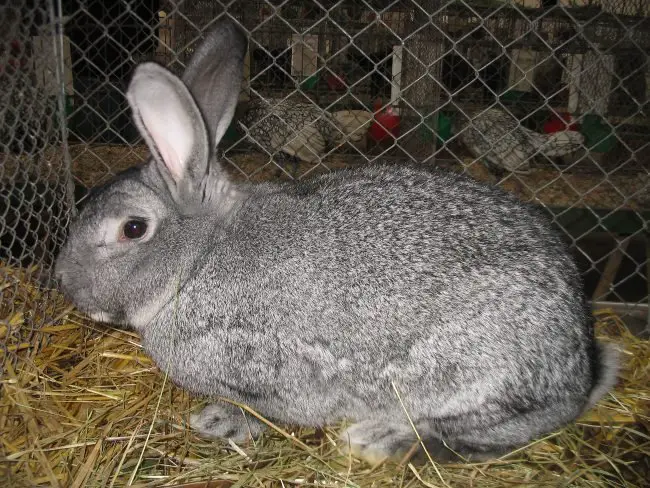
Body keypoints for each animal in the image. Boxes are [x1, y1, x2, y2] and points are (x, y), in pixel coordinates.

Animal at [55, 17, 616, 464]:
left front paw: (221, 422)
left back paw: (380, 439)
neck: (197, 263)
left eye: (132, 229)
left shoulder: (271, 369)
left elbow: (271, 411)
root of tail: (579, 365)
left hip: (472, 370)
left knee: (495, 432)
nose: (61, 281)